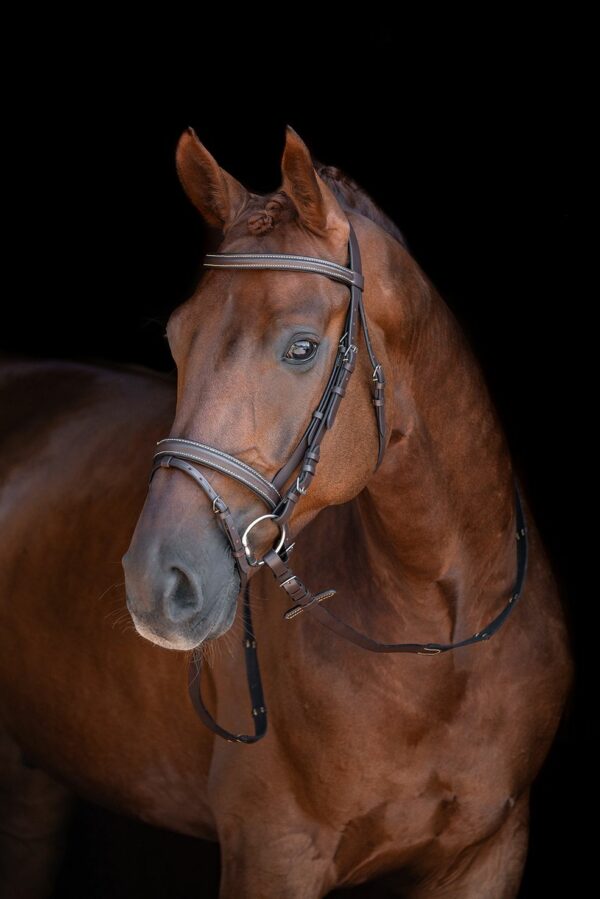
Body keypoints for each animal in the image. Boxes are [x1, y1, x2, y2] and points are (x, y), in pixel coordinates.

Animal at [0, 128, 572, 899]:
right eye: (177, 339)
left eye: (301, 347)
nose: (157, 582)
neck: (443, 638)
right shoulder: (275, 852)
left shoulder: (487, 853)